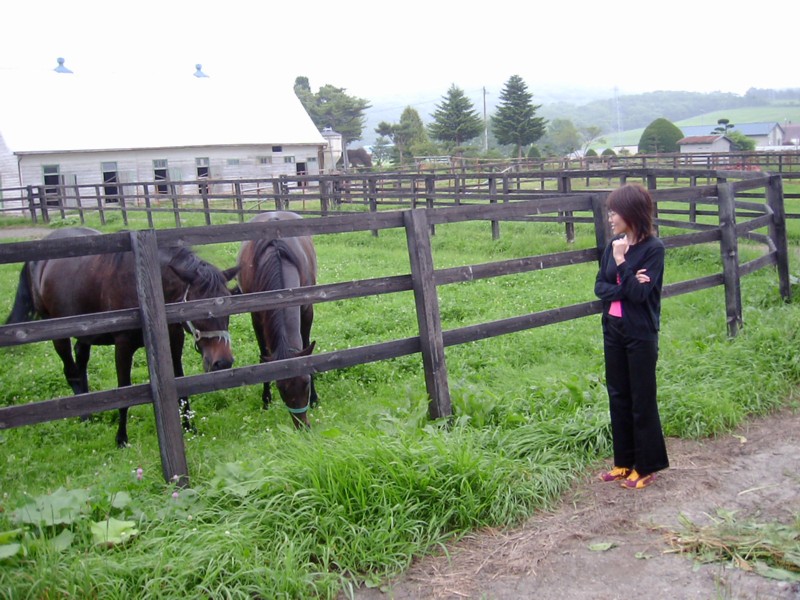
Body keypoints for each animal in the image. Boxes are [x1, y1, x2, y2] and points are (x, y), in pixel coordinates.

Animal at [5, 227, 238, 447]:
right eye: (199, 310)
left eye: (229, 304)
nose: (223, 362)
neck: (144, 285)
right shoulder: (123, 345)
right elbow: (124, 390)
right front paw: (121, 438)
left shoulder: (174, 339)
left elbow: (181, 384)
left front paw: (189, 427)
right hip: (58, 333)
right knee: (71, 371)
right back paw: (85, 416)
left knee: (81, 363)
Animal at [236, 212, 318, 427]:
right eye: (281, 388)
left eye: (306, 382)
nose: (302, 426)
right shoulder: (257, 318)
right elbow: (264, 355)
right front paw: (266, 400)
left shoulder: (307, 311)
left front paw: (315, 398)